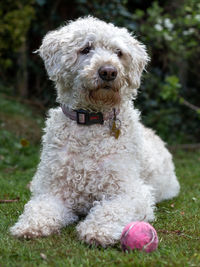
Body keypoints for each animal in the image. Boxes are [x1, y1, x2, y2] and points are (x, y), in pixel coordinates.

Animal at [10, 16, 180, 247]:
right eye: (86, 49)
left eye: (119, 52)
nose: (108, 71)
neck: (90, 122)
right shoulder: (53, 190)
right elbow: (39, 207)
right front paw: (29, 226)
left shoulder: (132, 193)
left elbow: (111, 209)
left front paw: (97, 230)